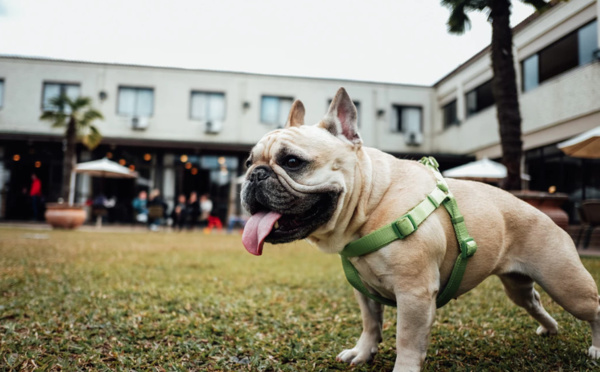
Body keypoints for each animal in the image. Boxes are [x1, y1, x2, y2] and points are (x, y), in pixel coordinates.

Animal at [240, 88, 600, 372]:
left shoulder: (414, 293)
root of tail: (540, 212)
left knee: (592, 308)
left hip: (566, 283)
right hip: (518, 285)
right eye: (247, 162)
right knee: (534, 300)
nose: (254, 175)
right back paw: (549, 329)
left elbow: (407, 341)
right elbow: (370, 324)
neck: (372, 203)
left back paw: (596, 347)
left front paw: (403, 367)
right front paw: (362, 352)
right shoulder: (364, 291)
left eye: (292, 162)